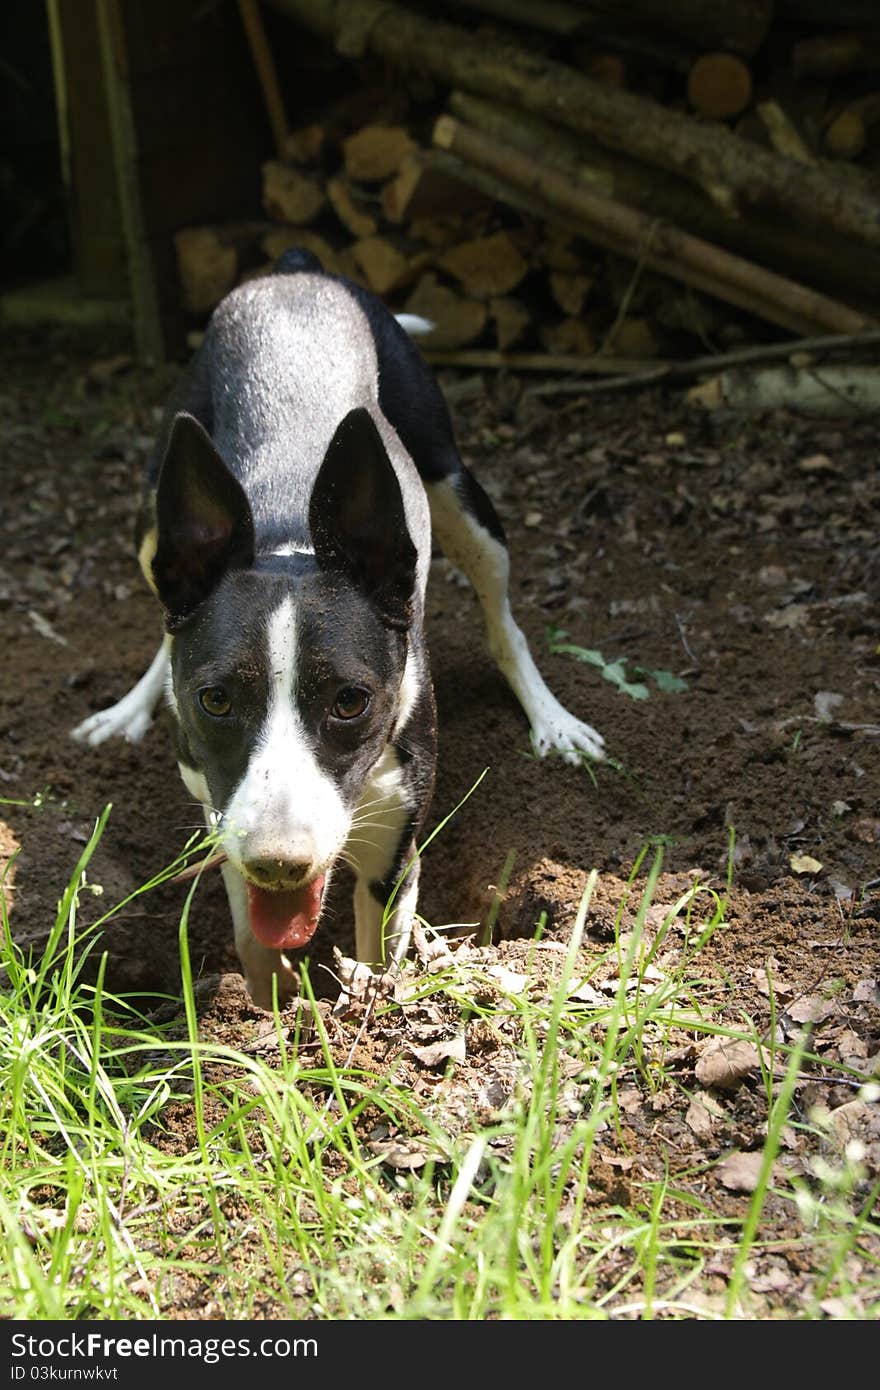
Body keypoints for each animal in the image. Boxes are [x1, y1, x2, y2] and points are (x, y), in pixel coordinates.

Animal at [71, 250, 600, 1006]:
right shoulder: (223, 814)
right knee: (164, 612)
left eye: (352, 701)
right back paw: (128, 708)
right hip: (154, 514)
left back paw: (553, 720)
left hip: (458, 490)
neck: (290, 542)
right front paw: (265, 1013)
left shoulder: (394, 839)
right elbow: (251, 938)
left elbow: (380, 951)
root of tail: (298, 269)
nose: (280, 860)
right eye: (215, 700)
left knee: (505, 622)